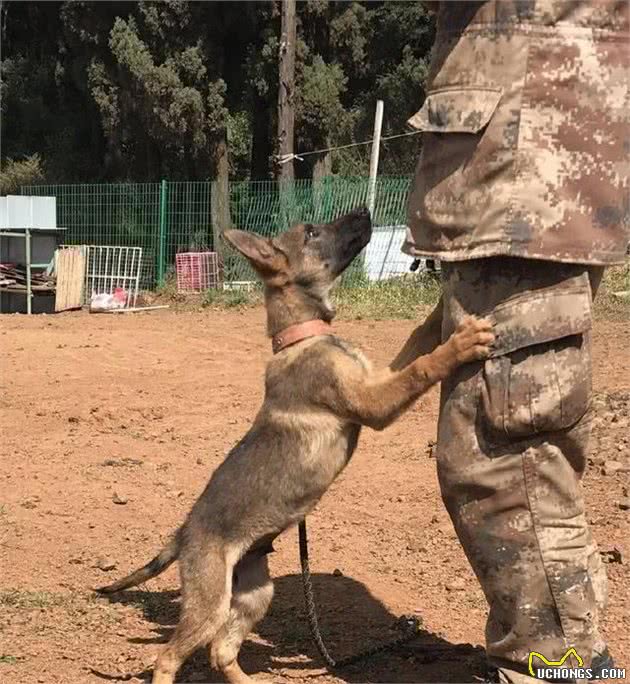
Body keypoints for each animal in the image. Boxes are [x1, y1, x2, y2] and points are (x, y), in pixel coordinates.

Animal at [96, 210, 496, 684]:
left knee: (221, 652)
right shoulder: (373, 403)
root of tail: (184, 532)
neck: (303, 337)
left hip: (255, 592)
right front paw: (461, 343)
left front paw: (439, 311)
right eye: (312, 232)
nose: (365, 212)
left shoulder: (376, 380)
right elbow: (421, 367)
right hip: (210, 602)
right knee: (169, 657)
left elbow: (416, 341)